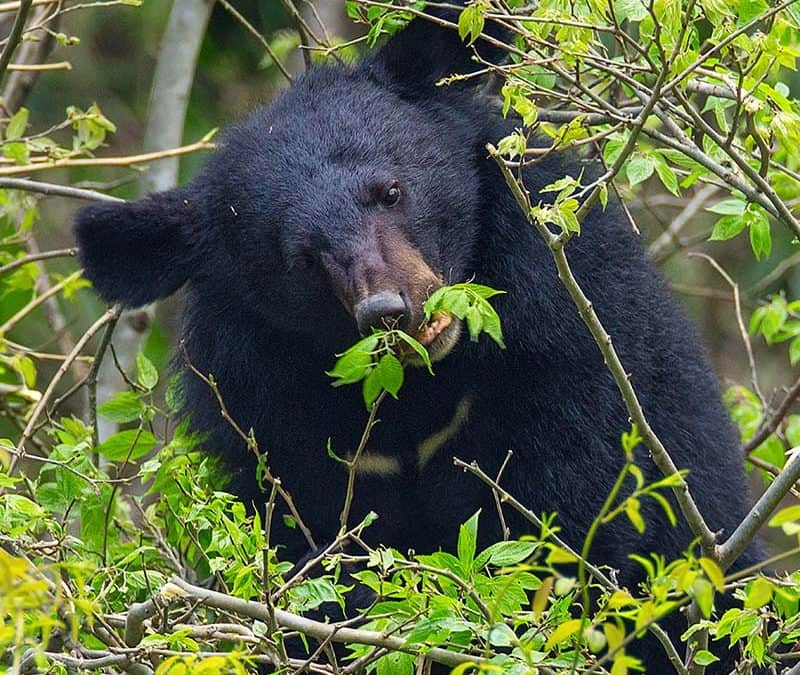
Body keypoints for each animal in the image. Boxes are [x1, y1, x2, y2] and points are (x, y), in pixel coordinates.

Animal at [76, 7, 764, 672]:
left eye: (391, 191)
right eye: (300, 257)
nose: (389, 309)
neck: (421, 395)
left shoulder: (565, 346)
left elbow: (573, 510)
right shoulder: (281, 433)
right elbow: (321, 561)